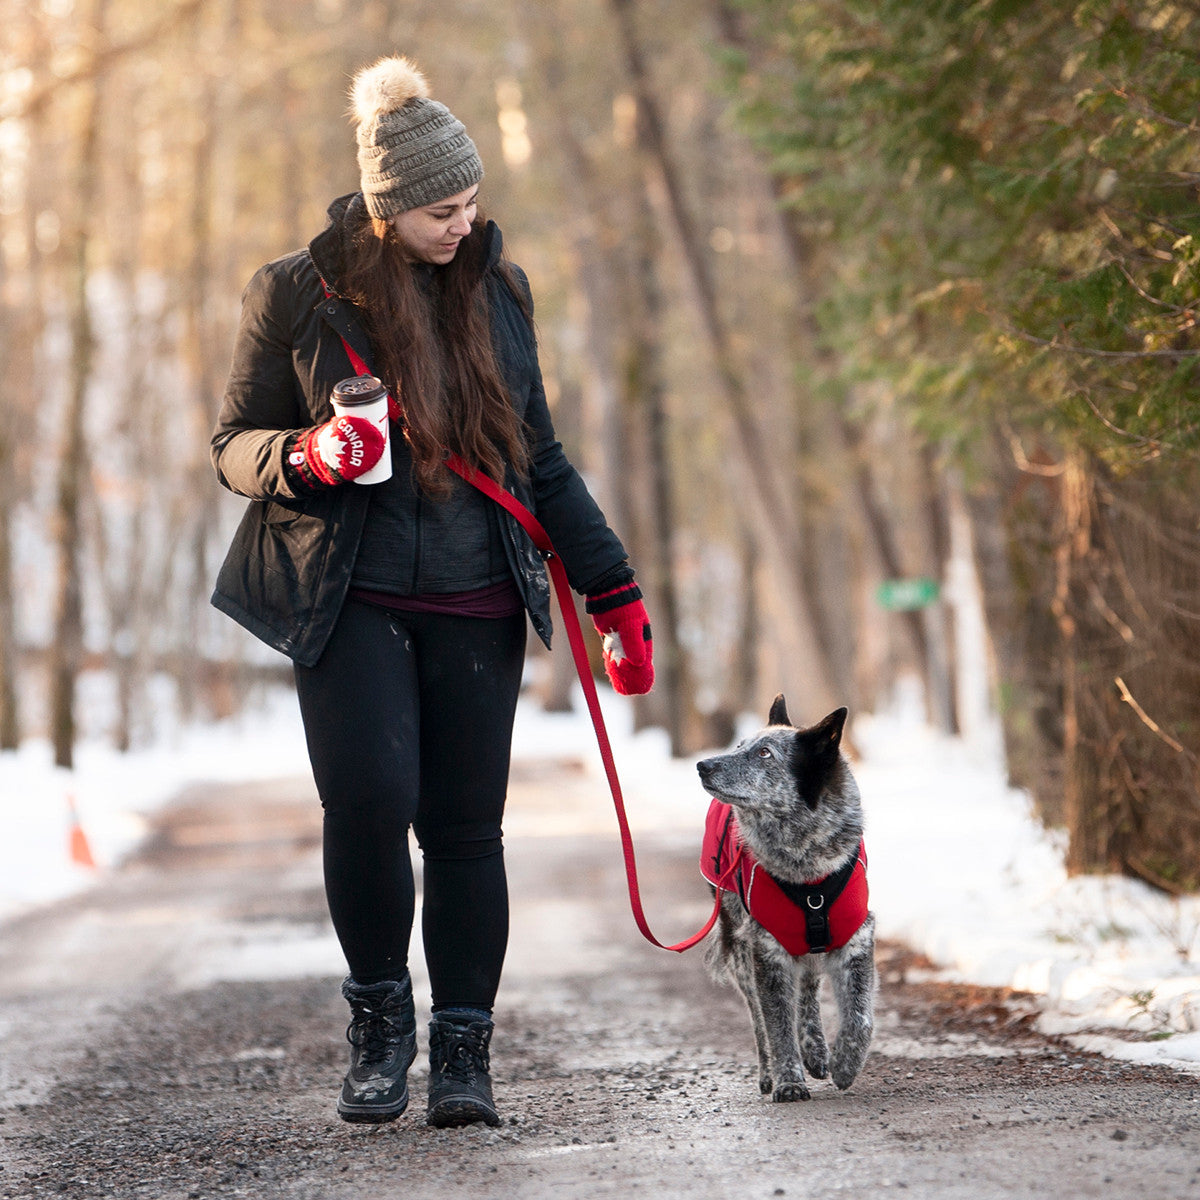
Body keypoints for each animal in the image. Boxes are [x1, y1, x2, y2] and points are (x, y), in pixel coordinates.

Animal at [696, 691, 873, 1099]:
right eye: (739, 746)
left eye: (765, 753)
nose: (703, 765)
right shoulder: (766, 948)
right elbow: (776, 1024)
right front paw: (789, 1081)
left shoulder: (857, 937)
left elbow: (860, 1018)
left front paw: (845, 1063)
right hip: (740, 950)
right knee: (758, 1017)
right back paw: (769, 1073)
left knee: (807, 989)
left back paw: (817, 1051)